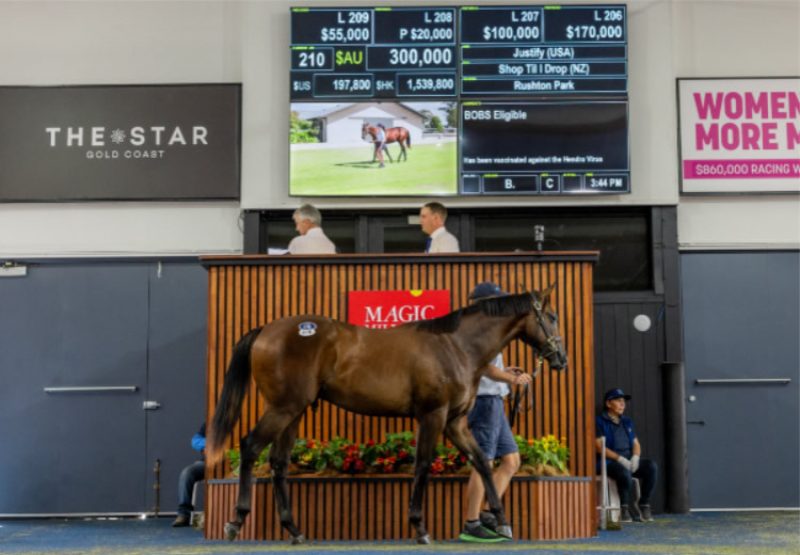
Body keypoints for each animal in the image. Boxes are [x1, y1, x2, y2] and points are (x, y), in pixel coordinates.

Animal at [209, 286, 564, 544]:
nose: (561, 358)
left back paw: (294, 530)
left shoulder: (455, 422)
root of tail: (265, 330)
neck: (455, 346)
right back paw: (236, 521)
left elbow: (482, 464)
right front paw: (420, 527)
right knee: (250, 447)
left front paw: (501, 521)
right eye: (551, 316)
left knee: (279, 463)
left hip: (293, 412)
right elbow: (423, 465)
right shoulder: (433, 416)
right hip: (283, 409)